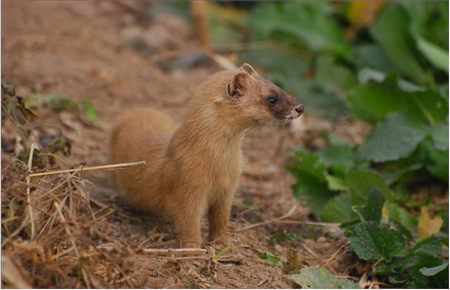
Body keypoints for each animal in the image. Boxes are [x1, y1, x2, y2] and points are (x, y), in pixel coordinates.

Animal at [110, 64, 304, 247]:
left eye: (278, 86)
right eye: (272, 99)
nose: (300, 107)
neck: (220, 166)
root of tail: (131, 112)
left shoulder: (228, 190)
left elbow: (221, 218)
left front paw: (221, 243)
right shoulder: (187, 187)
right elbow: (188, 222)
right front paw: (194, 249)